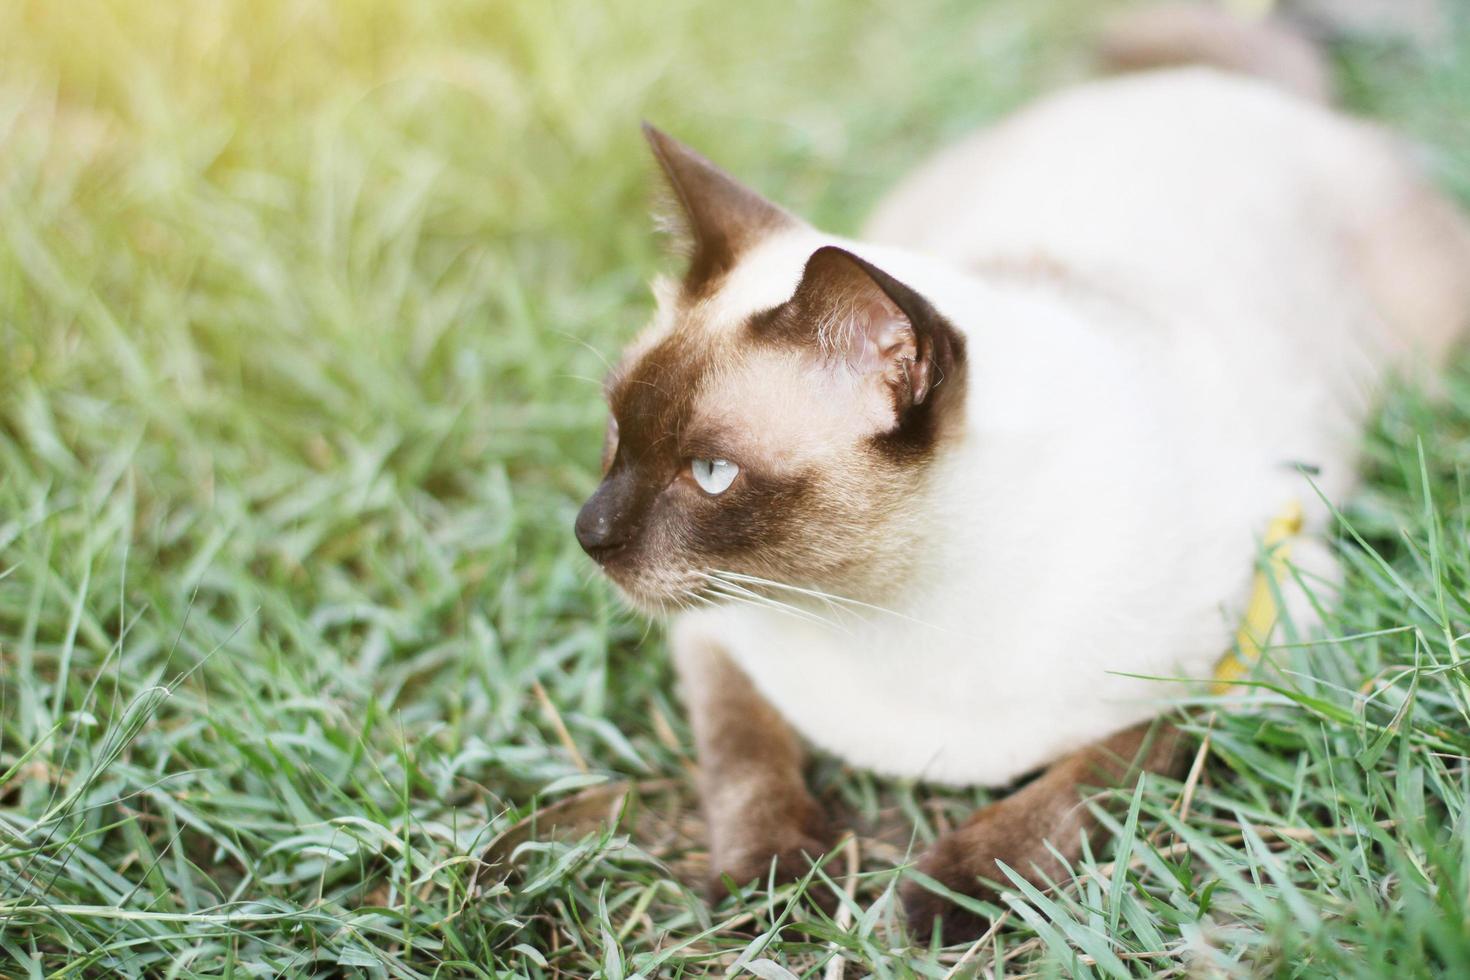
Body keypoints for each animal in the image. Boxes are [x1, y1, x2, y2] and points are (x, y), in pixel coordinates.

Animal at [570, 1, 1470, 940]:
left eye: (710, 472)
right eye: (615, 430)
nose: (587, 532)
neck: (885, 605)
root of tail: (1219, 89)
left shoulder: (1264, 648)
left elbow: (1101, 774)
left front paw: (942, 898)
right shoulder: (712, 639)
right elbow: (745, 759)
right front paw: (773, 886)